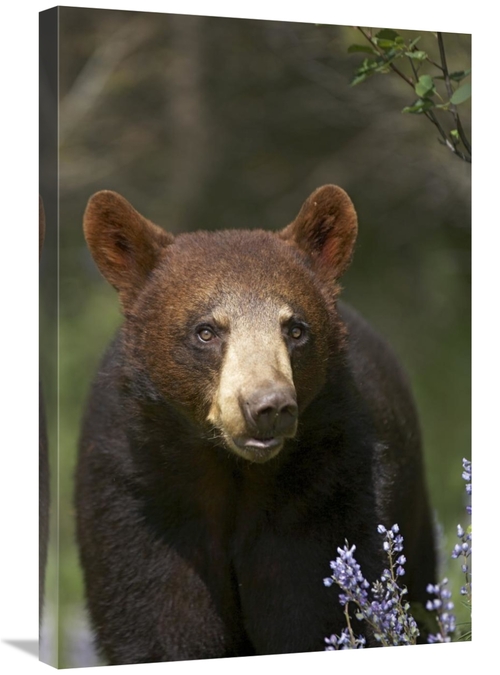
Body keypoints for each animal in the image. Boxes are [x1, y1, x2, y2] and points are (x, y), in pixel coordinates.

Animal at [75, 185, 436, 664]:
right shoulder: (140, 501)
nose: (269, 406)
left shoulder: (327, 493)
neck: (233, 473)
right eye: (206, 330)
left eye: (296, 329)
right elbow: (160, 623)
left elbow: (316, 613)